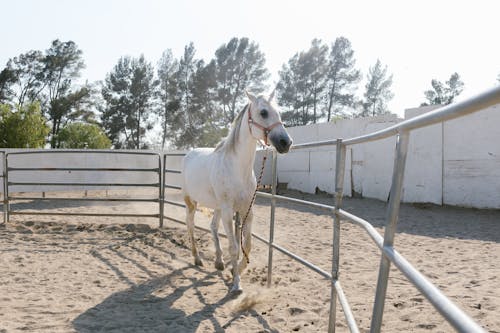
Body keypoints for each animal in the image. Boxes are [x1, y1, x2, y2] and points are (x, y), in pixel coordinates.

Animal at [182, 89, 292, 292]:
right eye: (263, 112)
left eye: (279, 112)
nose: (286, 142)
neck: (237, 168)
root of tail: (189, 153)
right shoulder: (228, 210)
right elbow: (233, 247)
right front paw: (236, 285)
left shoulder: (247, 210)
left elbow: (247, 245)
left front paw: (236, 270)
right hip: (191, 202)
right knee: (190, 225)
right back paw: (197, 258)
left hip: (217, 206)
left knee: (213, 227)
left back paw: (218, 262)